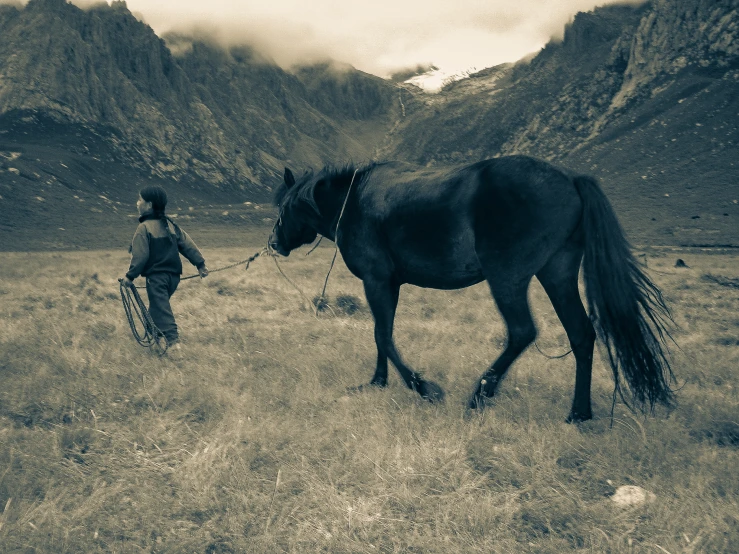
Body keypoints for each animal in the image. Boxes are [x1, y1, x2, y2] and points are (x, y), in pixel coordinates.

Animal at [272, 155, 676, 418]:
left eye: (282, 208)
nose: (274, 243)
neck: (354, 201)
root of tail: (571, 178)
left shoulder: (378, 280)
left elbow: (382, 336)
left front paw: (424, 388)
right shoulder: (388, 284)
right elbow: (380, 336)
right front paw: (377, 382)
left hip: (508, 277)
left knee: (522, 332)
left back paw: (480, 395)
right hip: (556, 274)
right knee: (581, 334)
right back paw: (578, 413)